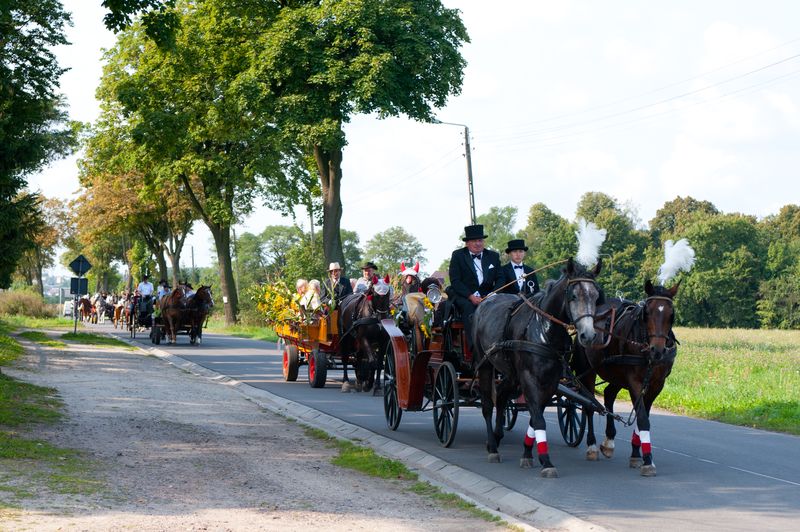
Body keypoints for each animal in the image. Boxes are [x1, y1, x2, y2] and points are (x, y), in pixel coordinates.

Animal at [472, 258, 604, 478]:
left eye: (596, 296)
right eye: (573, 295)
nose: (588, 335)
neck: (544, 330)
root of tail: (485, 302)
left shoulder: (550, 382)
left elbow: (535, 418)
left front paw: (528, 453)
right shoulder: (529, 379)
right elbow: (539, 419)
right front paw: (546, 461)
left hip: (511, 374)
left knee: (502, 396)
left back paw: (498, 436)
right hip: (486, 365)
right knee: (488, 405)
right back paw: (492, 446)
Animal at [572, 280, 680, 476]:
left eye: (671, 314)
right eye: (647, 312)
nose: (657, 350)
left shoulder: (656, 384)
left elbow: (642, 416)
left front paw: (637, 454)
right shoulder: (634, 382)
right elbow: (643, 418)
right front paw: (647, 461)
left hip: (617, 374)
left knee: (608, 394)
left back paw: (609, 442)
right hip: (589, 371)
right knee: (589, 405)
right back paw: (592, 446)